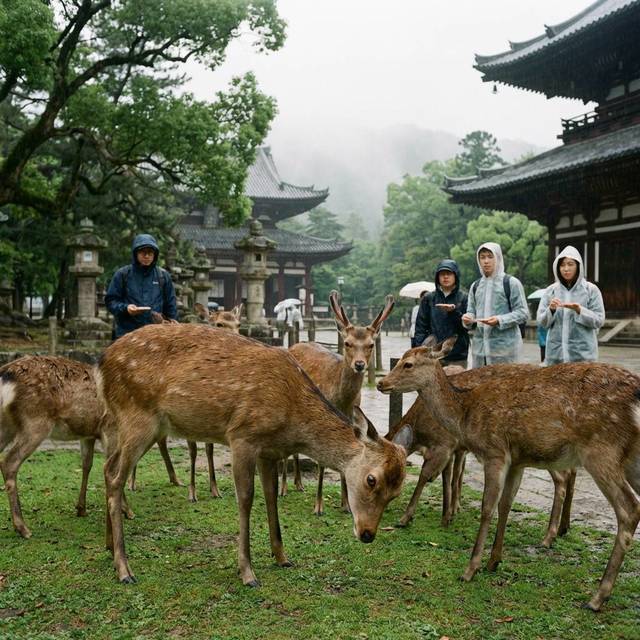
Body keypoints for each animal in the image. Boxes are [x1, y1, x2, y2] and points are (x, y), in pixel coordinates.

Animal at [0, 355, 133, 538]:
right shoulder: (110, 428)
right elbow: (114, 470)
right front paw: (127, 510)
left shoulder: (88, 435)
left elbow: (87, 464)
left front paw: (81, 508)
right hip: (35, 422)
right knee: (9, 463)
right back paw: (22, 527)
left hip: (8, 425)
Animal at [97, 323, 407, 587]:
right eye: (371, 479)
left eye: (396, 492)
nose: (367, 534)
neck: (292, 420)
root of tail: (101, 365)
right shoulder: (242, 436)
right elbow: (246, 499)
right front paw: (247, 572)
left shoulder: (269, 452)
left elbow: (271, 497)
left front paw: (282, 557)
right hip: (138, 417)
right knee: (115, 476)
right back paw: (124, 569)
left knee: (107, 467)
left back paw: (109, 546)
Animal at [287, 291, 395, 514]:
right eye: (347, 343)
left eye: (371, 344)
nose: (359, 364)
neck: (341, 400)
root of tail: (295, 344)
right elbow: (322, 461)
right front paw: (318, 506)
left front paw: (346, 504)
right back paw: (284, 488)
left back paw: (299, 483)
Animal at [386, 358, 575, 546]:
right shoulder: (453, 447)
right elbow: (448, 476)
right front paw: (448, 515)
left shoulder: (444, 443)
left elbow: (425, 475)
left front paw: (405, 518)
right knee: (570, 472)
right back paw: (563, 527)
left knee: (562, 476)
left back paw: (549, 536)